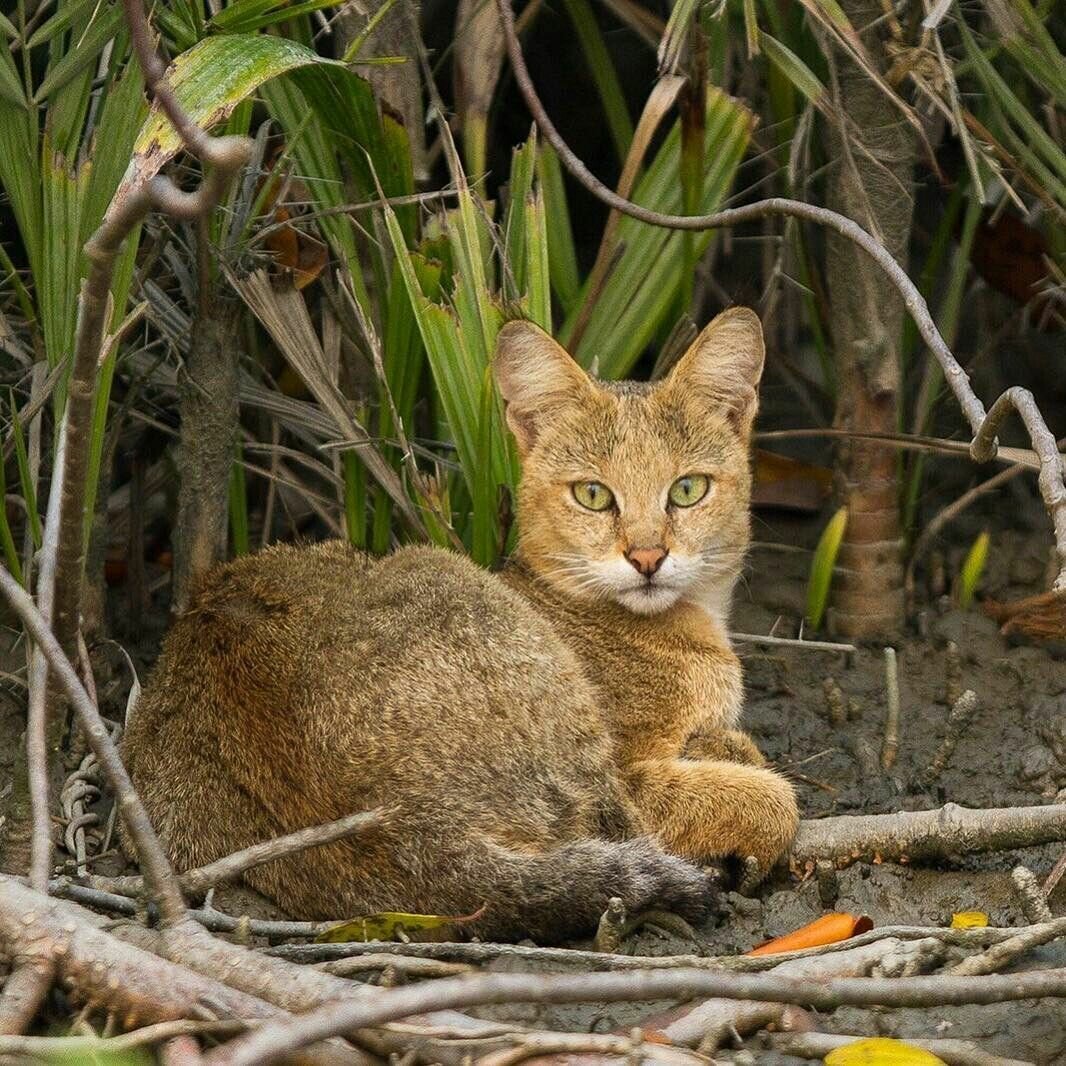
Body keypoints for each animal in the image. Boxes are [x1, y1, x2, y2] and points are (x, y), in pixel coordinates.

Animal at [120, 307, 797, 942]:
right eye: (593, 495)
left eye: (687, 490)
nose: (648, 556)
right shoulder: (631, 781)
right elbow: (765, 796)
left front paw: (725, 744)